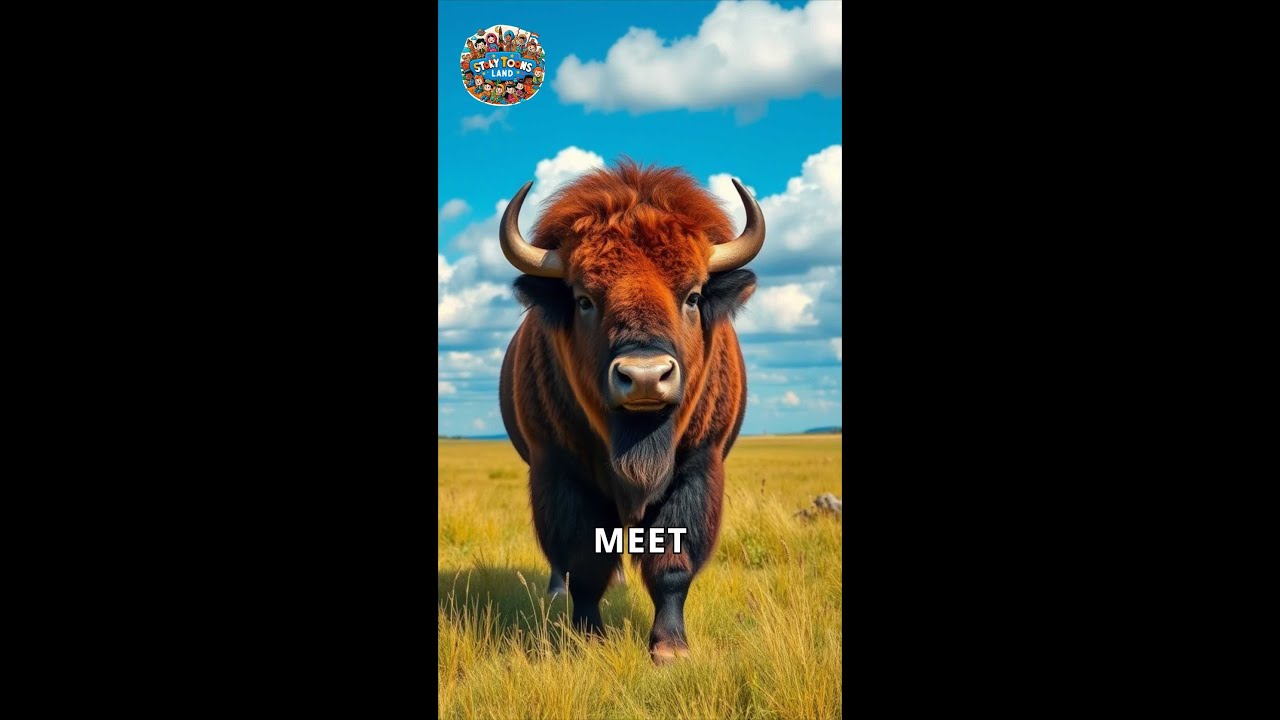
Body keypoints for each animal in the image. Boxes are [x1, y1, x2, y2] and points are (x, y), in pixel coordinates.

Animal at [497, 161, 764, 664]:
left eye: (692, 296)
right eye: (584, 299)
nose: (644, 376)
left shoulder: (697, 470)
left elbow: (673, 564)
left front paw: (670, 649)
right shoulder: (560, 473)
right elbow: (583, 563)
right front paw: (588, 640)